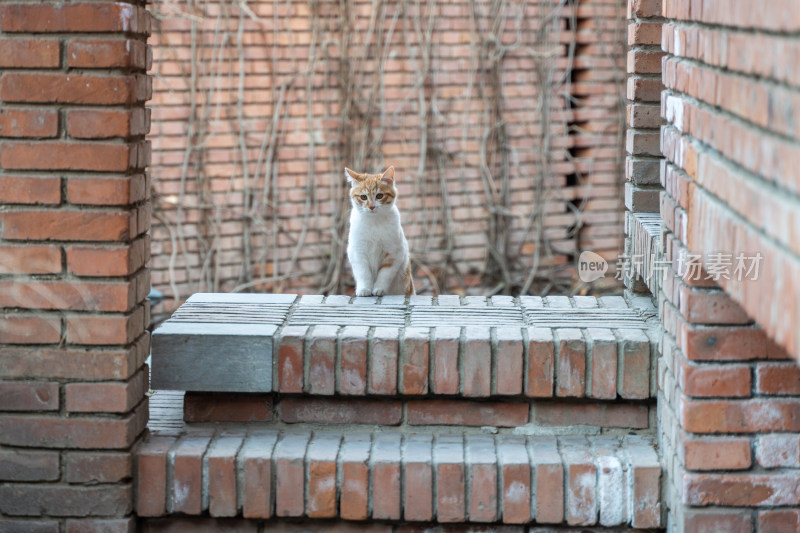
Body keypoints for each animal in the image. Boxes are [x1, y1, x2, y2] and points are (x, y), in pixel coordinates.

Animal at [346, 166, 416, 296]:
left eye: (379, 196)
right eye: (363, 197)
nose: (371, 207)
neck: (374, 222)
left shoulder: (394, 252)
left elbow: (385, 274)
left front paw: (379, 289)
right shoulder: (358, 252)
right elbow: (363, 273)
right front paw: (364, 289)